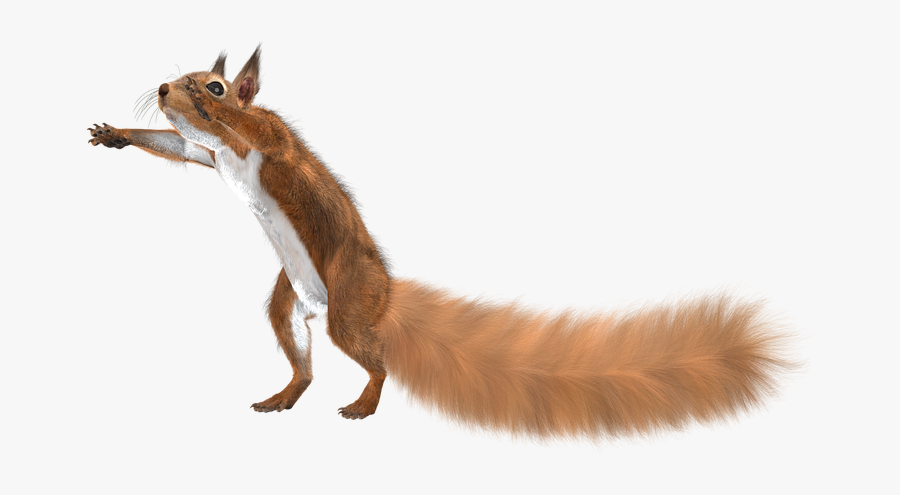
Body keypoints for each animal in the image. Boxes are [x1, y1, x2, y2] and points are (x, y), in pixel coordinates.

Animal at [87, 46, 796, 439]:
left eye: (212, 83)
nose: (164, 88)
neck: (237, 152)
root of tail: (386, 296)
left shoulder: (273, 139)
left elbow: (248, 127)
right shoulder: (208, 156)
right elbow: (179, 147)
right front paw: (116, 134)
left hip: (349, 306)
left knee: (377, 363)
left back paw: (363, 404)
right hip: (290, 304)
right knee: (304, 363)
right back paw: (283, 396)